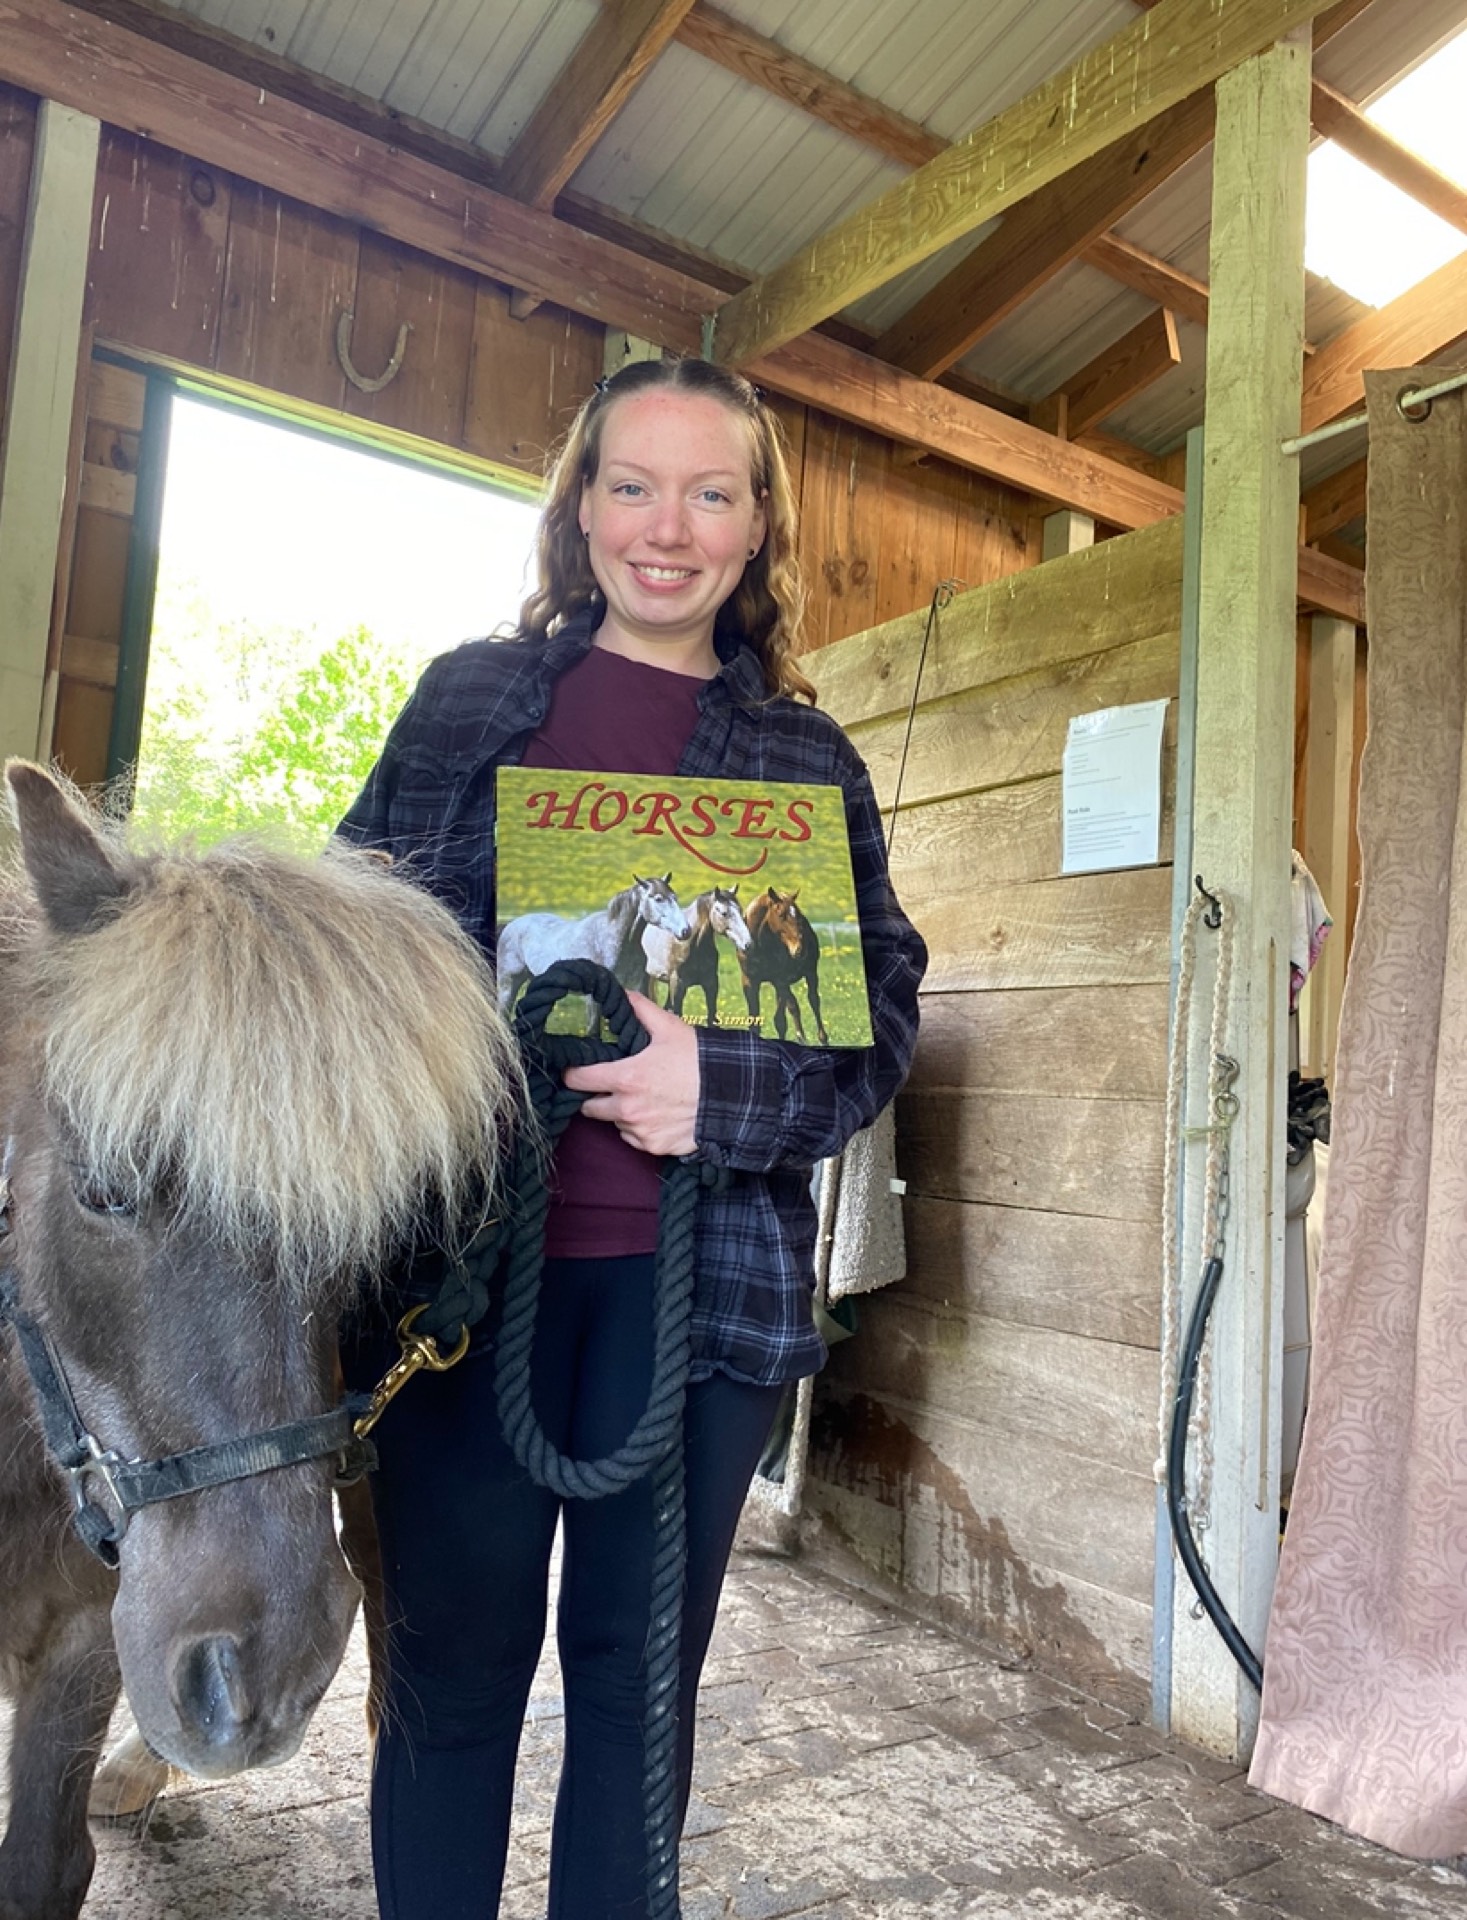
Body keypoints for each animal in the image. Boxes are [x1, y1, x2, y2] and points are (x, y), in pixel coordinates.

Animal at [495, 873, 690, 1019]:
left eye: (675, 897)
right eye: (658, 899)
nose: (685, 930)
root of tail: (510, 925)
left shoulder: (637, 989)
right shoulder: (594, 1000)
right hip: (508, 985)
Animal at [642, 885, 751, 1025]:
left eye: (740, 911)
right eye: (724, 913)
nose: (747, 943)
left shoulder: (711, 984)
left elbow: (711, 1018)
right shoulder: (678, 985)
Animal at [738, 886, 829, 1044]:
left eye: (799, 915)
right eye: (781, 915)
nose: (801, 949)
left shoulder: (780, 980)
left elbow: (781, 1019)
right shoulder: (749, 981)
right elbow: (756, 1021)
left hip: (810, 973)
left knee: (813, 1000)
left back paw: (822, 1039)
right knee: (794, 1006)